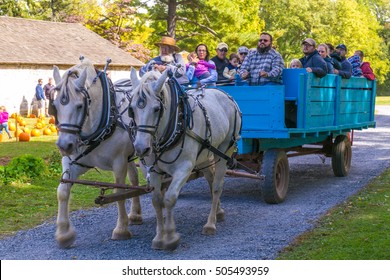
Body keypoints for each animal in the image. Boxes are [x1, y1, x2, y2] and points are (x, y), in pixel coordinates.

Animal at [53, 58, 142, 247]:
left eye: (80, 106)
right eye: (55, 105)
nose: (64, 145)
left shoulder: (119, 162)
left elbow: (119, 193)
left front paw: (121, 229)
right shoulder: (74, 161)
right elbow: (62, 191)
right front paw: (64, 233)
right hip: (130, 156)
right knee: (135, 178)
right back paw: (135, 214)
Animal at [129, 69, 242, 250]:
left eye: (156, 109)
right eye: (131, 109)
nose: (141, 148)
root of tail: (225, 94)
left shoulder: (184, 168)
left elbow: (169, 198)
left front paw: (170, 236)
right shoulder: (152, 170)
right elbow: (157, 200)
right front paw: (159, 237)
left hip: (225, 150)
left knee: (217, 186)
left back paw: (211, 223)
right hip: (204, 156)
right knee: (211, 180)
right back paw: (218, 211)